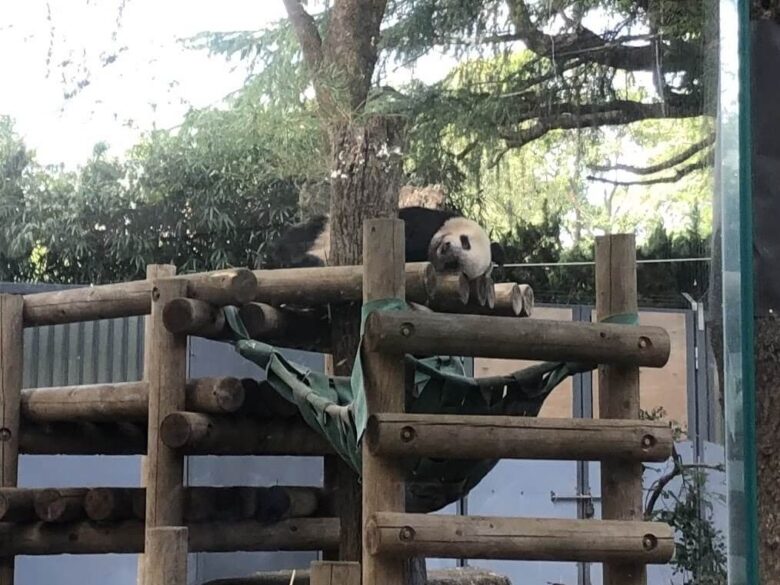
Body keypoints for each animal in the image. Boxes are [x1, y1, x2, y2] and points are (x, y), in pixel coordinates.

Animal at [266, 205, 502, 278]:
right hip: (321, 228)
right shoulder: (426, 219)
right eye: (465, 241)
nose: (445, 249)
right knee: (298, 236)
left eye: (455, 265)